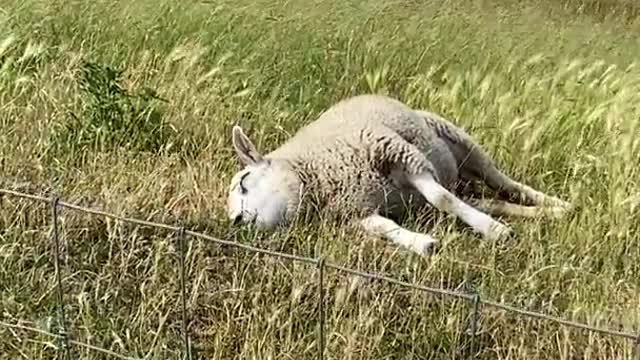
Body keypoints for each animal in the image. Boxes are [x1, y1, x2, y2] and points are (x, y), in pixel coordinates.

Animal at [224, 94, 568, 255]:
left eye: (243, 182)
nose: (236, 222)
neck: (319, 172)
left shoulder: (399, 155)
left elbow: (440, 199)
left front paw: (495, 232)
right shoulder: (355, 211)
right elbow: (385, 228)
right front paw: (422, 244)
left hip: (461, 142)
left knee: (502, 182)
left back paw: (556, 205)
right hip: (462, 184)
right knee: (490, 201)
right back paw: (542, 214)